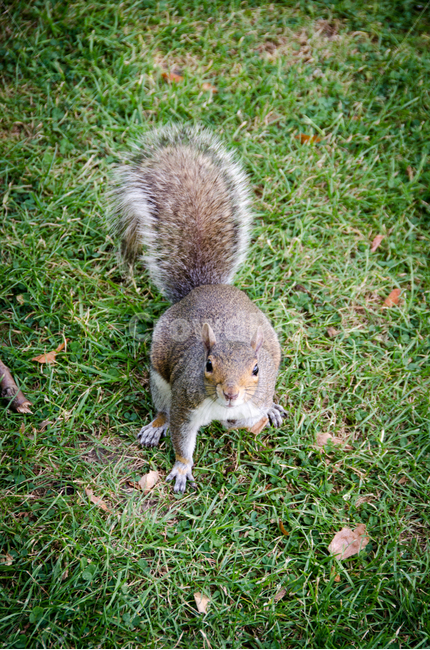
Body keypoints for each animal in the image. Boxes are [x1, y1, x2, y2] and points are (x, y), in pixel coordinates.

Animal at [109, 124, 286, 492]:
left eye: (256, 369)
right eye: (208, 365)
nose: (231, 393)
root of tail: (203, 288)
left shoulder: (255, 399)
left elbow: (248, 419)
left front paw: (246, 420)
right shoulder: (185, 403)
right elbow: (181, 436)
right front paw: (181, 468)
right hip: (159, 373)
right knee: (162, 407)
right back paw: (155, 426)